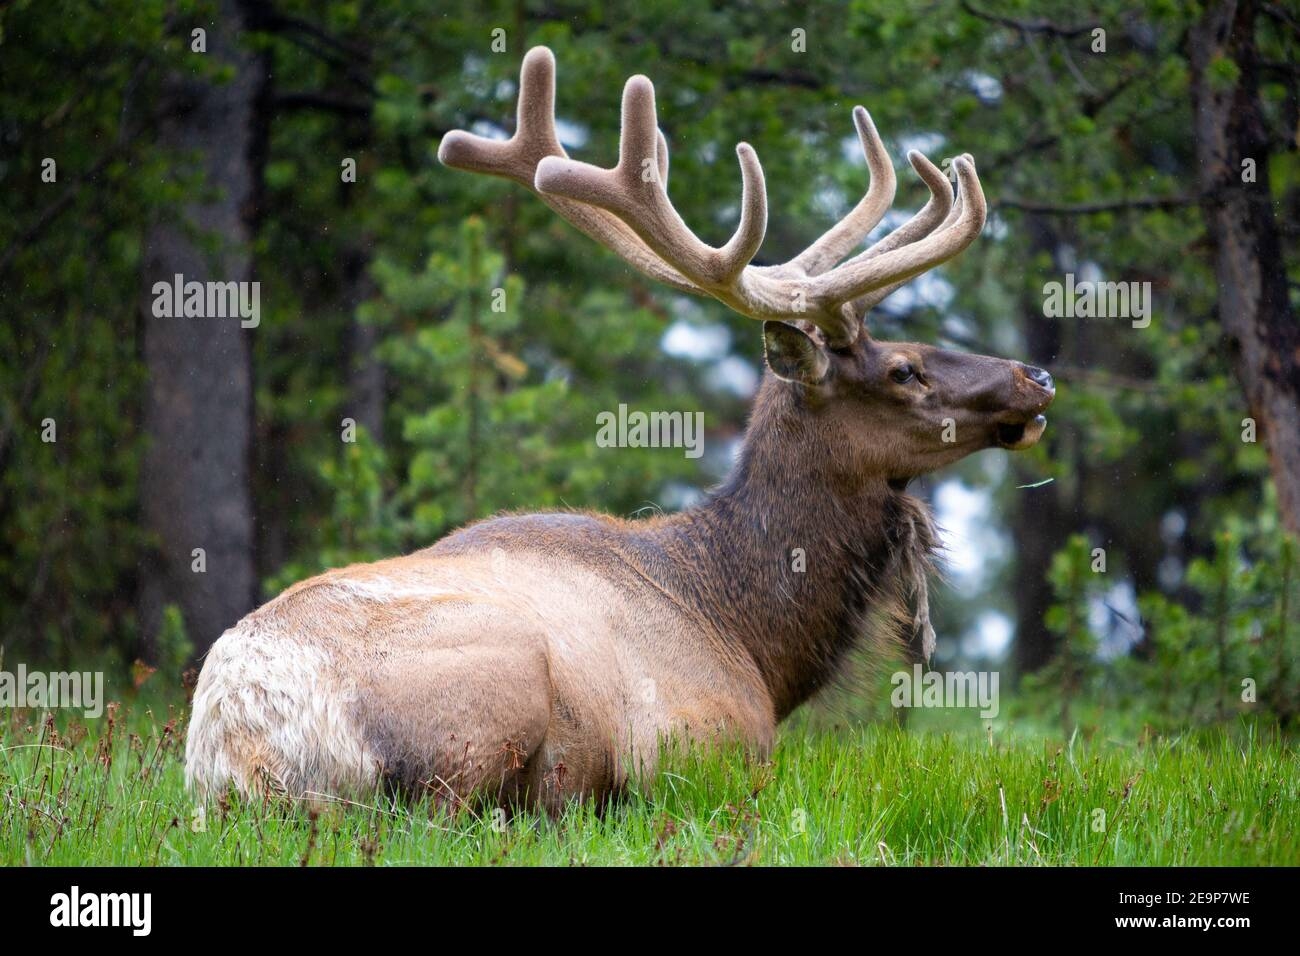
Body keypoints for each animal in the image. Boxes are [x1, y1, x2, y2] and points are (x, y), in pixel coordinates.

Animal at [185, 46, 1055, 812]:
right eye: (904, 369)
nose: (1035, 376)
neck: (752, 638)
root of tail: (240, 744)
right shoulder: (698, 746)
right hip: (493, 685)